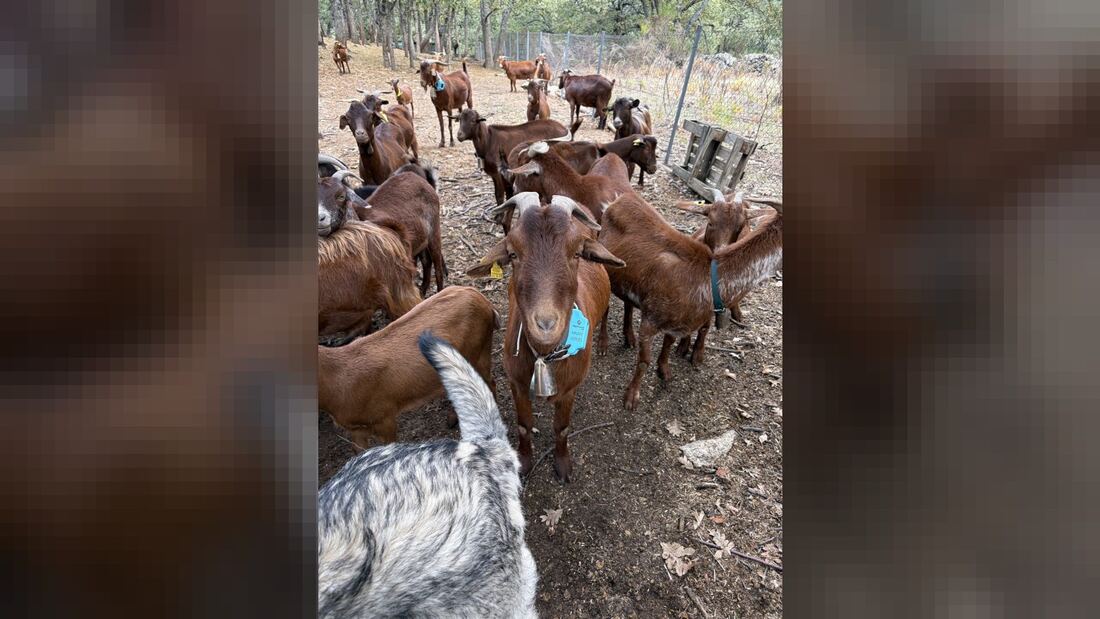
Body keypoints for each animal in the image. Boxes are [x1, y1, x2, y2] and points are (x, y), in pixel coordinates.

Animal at [467, 192, 625, 482]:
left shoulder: (569, 389)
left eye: (577, 253)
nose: (546, 324)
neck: (544, 354)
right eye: (513, 253)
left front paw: (563, 465)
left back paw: (604, 343)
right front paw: (524, 462)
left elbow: (561, 428)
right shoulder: (516, 383)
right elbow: (523, 425)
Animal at [596, 192, 783, 410]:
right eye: (710, 222)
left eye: (741, 227)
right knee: (606, 305)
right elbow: (644, 360)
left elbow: (669, 343)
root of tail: (615, 201)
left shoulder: (678, 323)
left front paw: (664, 371)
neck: (707, 282)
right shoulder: (651, 318)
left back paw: (629, 338)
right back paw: (603, 345)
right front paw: (631, 398)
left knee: (627, 303)